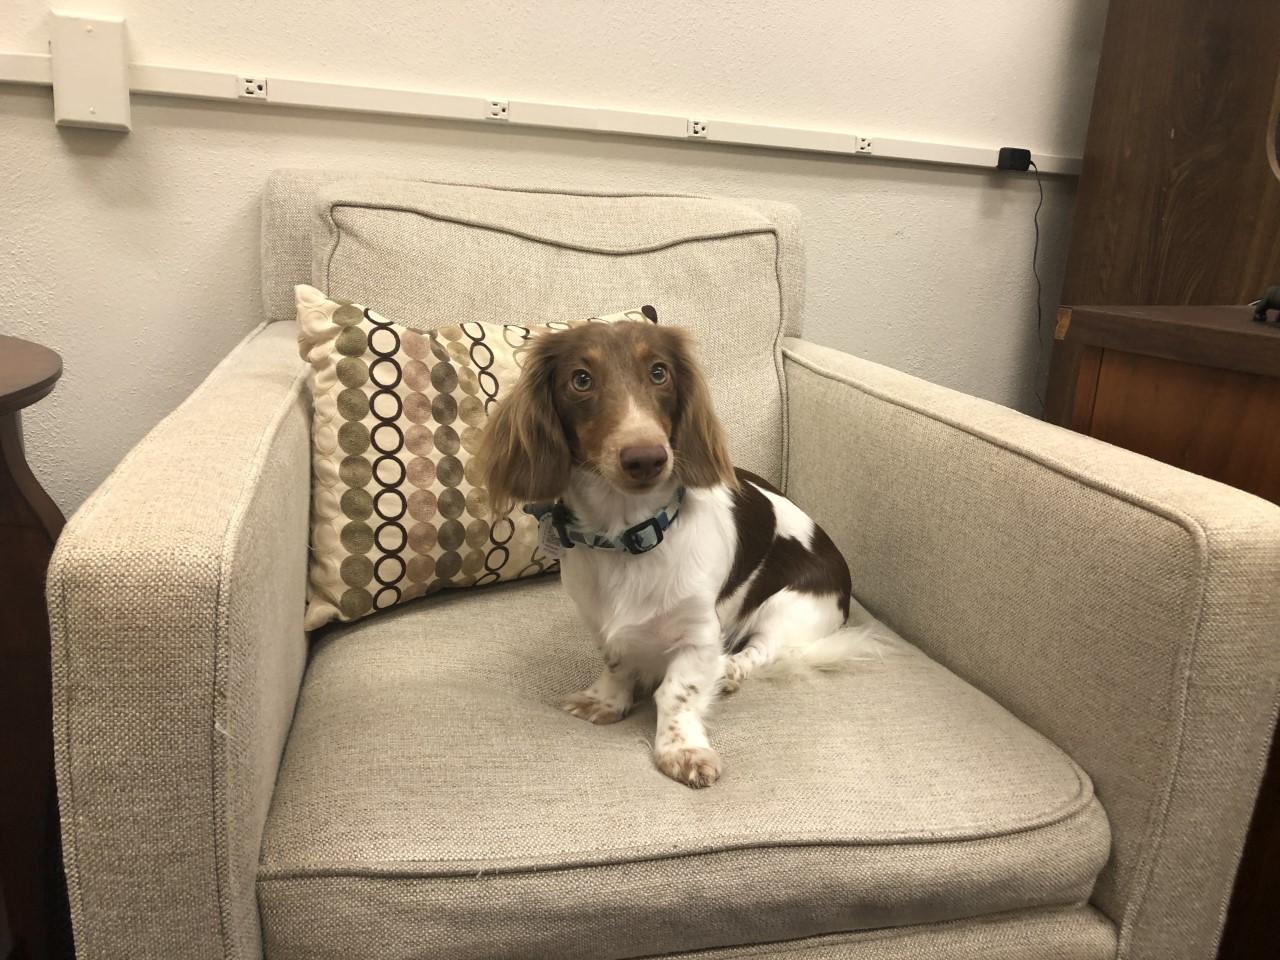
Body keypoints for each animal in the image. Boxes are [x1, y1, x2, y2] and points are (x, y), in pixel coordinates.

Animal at [481, 323, 870, 788]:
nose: (646, 457)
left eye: (659, 372)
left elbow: (677, 692)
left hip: (792, 608)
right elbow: (616, 662)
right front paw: (604, 701)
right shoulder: (597, 620)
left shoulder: (700, 633)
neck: (625, 539)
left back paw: (730, 670)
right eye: (580, 379)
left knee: (764, 649)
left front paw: (682, 749)